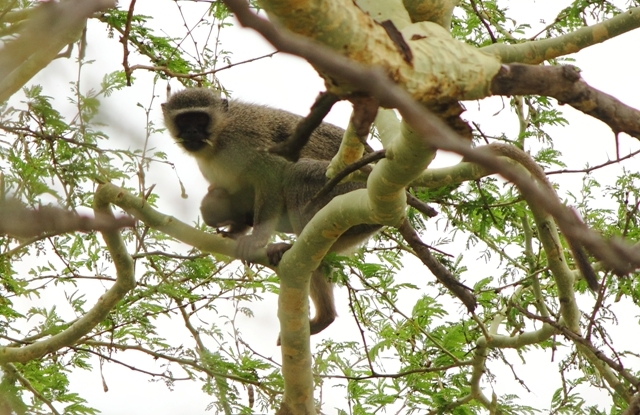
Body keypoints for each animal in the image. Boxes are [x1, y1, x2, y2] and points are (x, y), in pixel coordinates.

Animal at [162, 88, 380, 338]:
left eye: (200, 118)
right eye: (183, 120)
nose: (191, 131)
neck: (217, 139)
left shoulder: (245, 139)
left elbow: (273, 174)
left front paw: (256, 240)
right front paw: (234, 232)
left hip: (348, 188)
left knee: (298, 174)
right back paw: (325, 316)